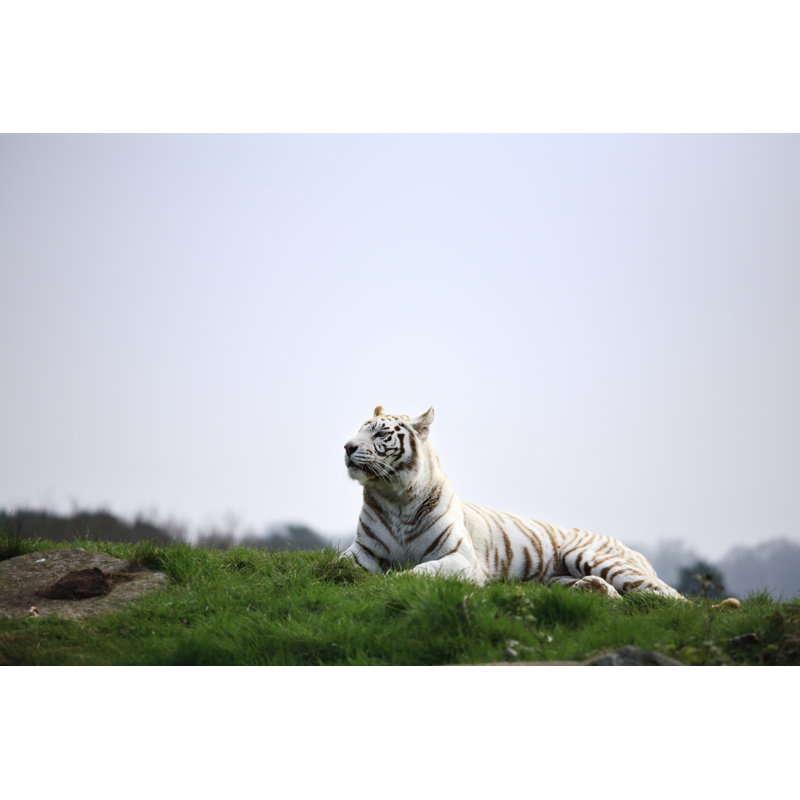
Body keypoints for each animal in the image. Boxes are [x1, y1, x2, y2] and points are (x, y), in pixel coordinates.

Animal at [341, 405, 684, 599]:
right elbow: (339, 565)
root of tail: (634, 549)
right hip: (557, 579)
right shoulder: (362, 551)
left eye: (380, 434)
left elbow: (420, 572)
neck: (395, 497)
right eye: (358, 431)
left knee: (671, 598)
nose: (347, 446)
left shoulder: (461, 559)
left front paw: (392, 582)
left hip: (588, 554)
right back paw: (594, 590)